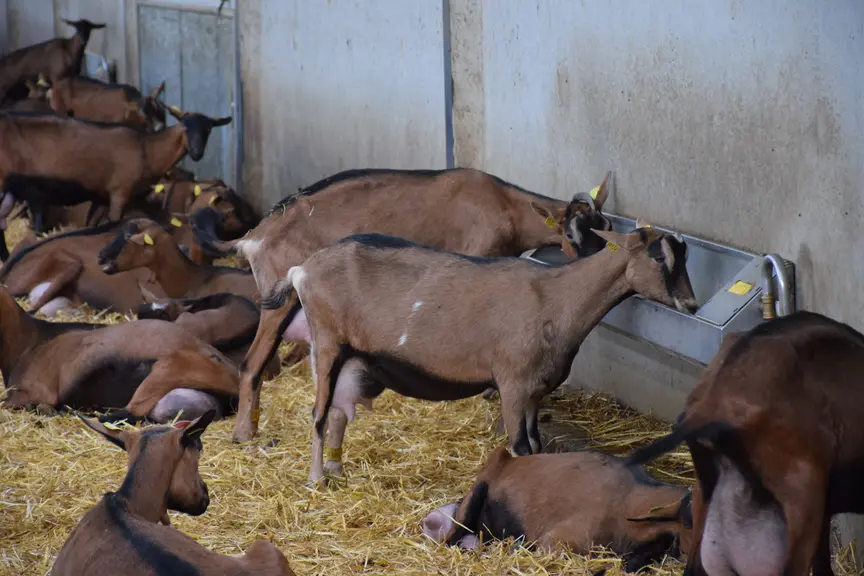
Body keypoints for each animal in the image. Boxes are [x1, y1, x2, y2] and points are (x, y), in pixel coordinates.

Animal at [192, 167, 613, 442]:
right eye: (571, 236)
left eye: (606, 229)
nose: (592, 269)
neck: (503, 204)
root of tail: (254, 235)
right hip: (277, 300)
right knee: (251, 364)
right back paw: (244, 434)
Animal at [260, 223, 697, 482]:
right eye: (658, 256)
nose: (691, 305)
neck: (556, 297)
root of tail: (302, 270)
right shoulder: (513, 383)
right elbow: (520, 447)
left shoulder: (536, 390)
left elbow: (536, 444)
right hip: (326, 341)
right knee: (318, 413)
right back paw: (316, 478)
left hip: (353, 354)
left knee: (338, 411)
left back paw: (336, 469)